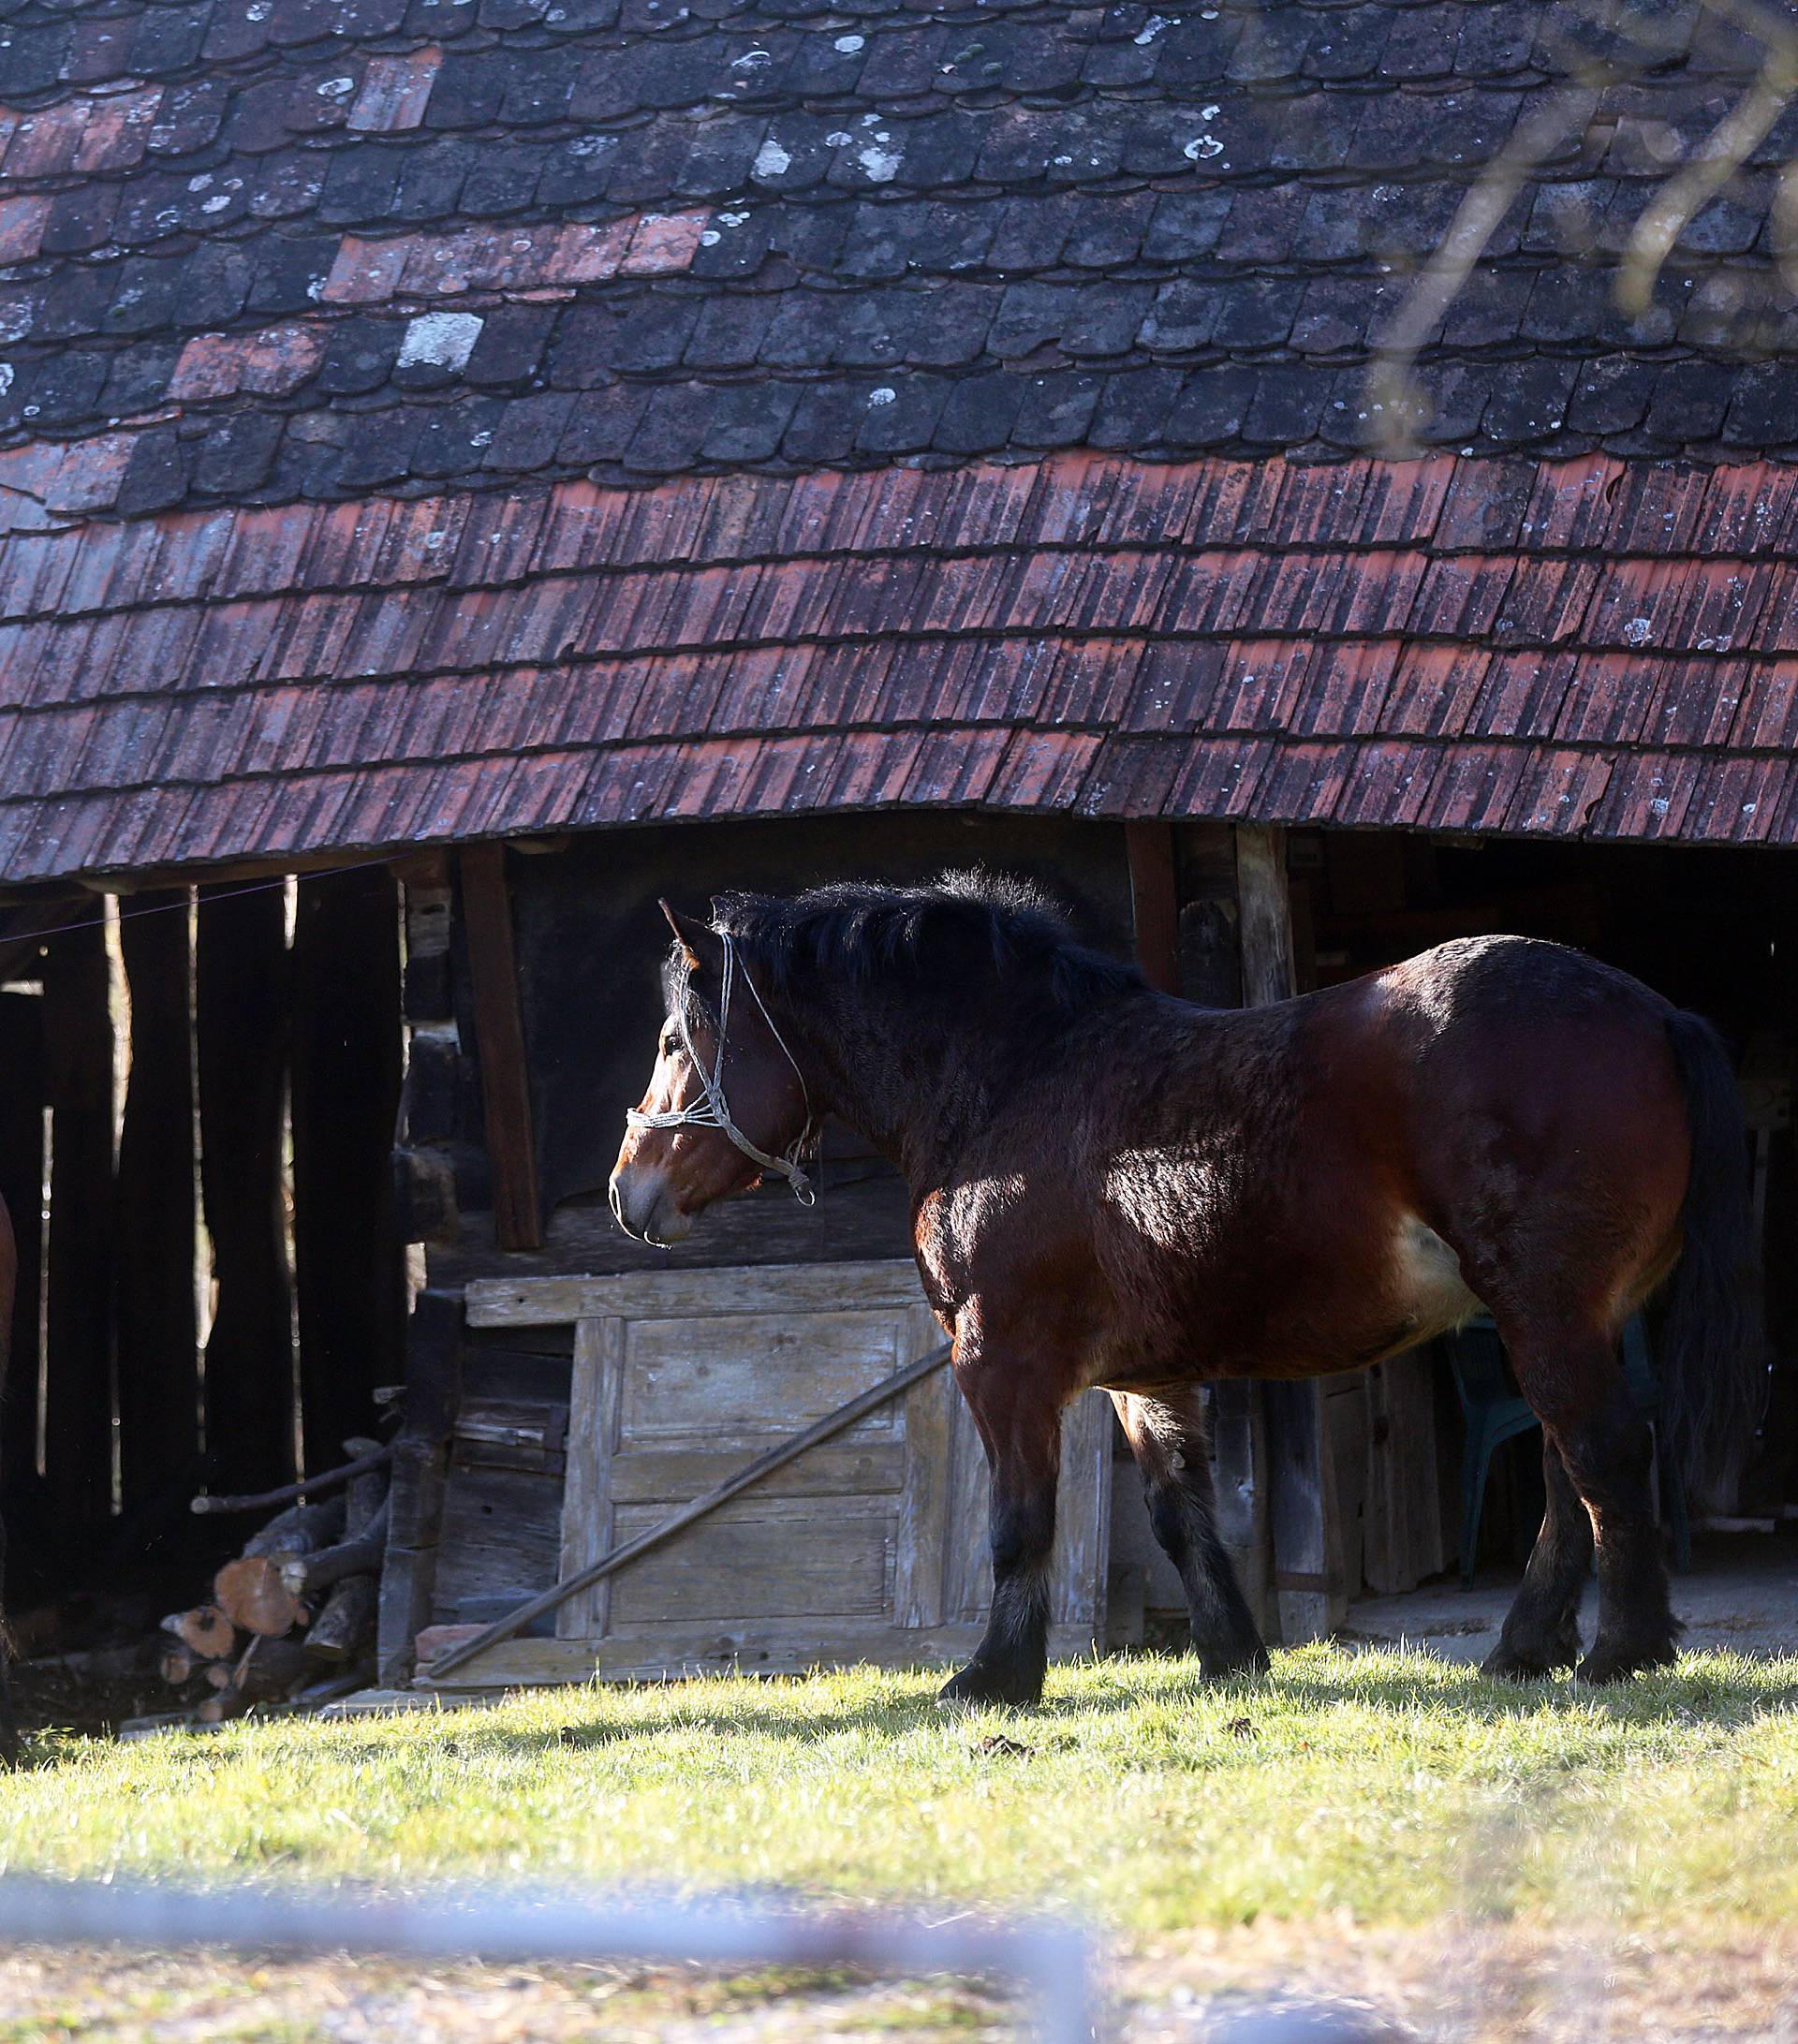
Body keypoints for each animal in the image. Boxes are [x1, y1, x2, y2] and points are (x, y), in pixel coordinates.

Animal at [612, 870, 1765, 1700]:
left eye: (676, 1037)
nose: (631, 1191)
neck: (1015, 1079)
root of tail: (1655, 1014)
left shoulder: (1002, 1361)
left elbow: (1020, 1523)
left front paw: (994, 1677)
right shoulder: (1140, 1377)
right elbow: (1181, 1513)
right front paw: (1230, 1659)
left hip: (1546, 1307)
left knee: (1602, 1452)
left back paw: (1622, 1652)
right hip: (1566, 1317)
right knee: (1573, 1472)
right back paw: (1526, 1650)